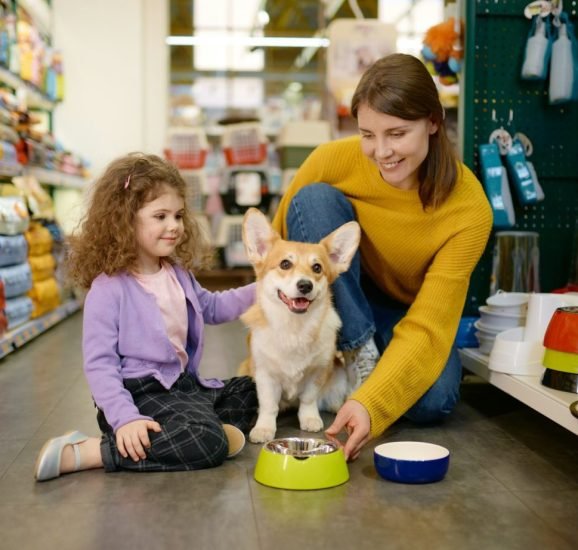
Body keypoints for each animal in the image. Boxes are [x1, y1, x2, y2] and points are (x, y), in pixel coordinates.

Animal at [240, 207, 358, 444]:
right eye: (285, 264)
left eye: (317, 268)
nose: (305, 285)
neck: (294, 327)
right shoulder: (265, 375)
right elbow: (269, 405)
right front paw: (264, 428)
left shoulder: (318, 372)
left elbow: (308, 400)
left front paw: (310, 419)